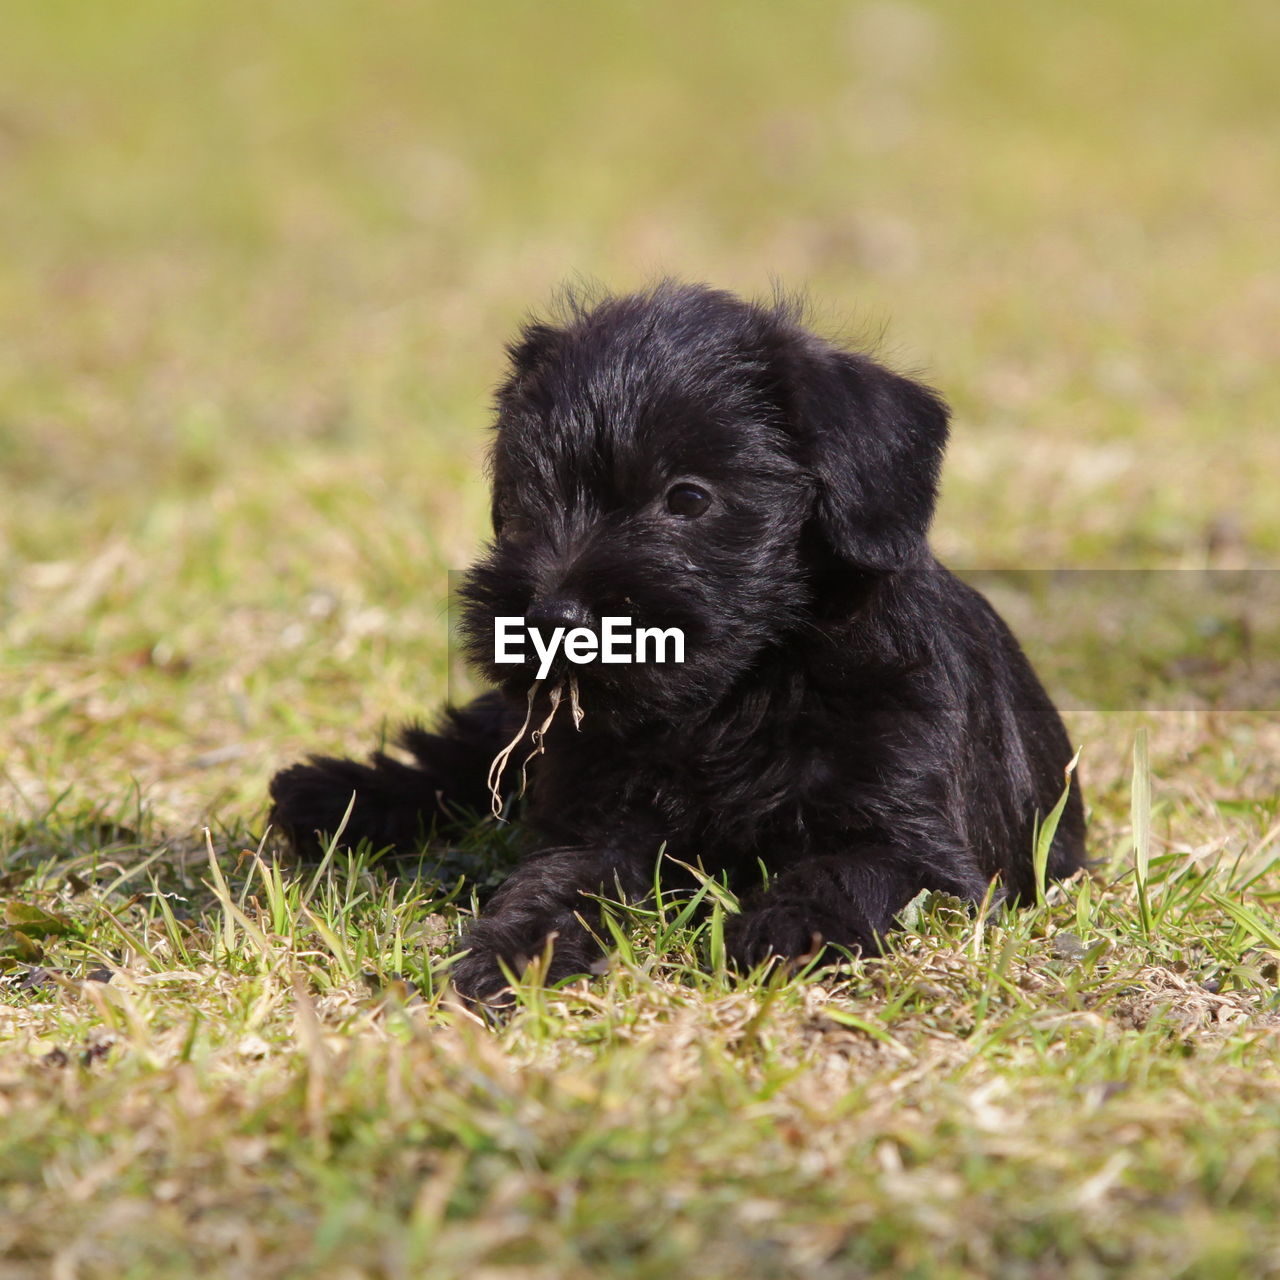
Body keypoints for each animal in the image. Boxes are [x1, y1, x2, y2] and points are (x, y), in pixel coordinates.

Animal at [270, 282, 1080, 998]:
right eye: (523, 502)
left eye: (687, 498)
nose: (552, 615)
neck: (739, 694)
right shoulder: (597, 822)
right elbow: (556, 882)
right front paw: (511, 953)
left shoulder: (922, 847)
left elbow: (845, 871)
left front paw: (786, 932)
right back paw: (329, 798)